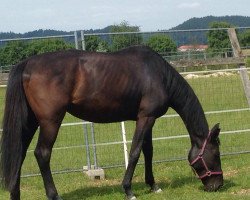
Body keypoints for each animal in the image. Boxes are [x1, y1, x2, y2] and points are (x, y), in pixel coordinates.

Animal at [0, 45, 223, 200]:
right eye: (216, 154)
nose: (218, 185)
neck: (158, 74)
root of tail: (27, 64)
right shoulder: (146, 118)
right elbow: (134, 152)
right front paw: (128, 190)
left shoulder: (147, 118)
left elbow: (148, 151)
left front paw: (153, 185)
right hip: (50, 121)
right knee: (42, 154)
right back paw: (54, 194)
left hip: (30, 121)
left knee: (19, 153)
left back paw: (15, 194)